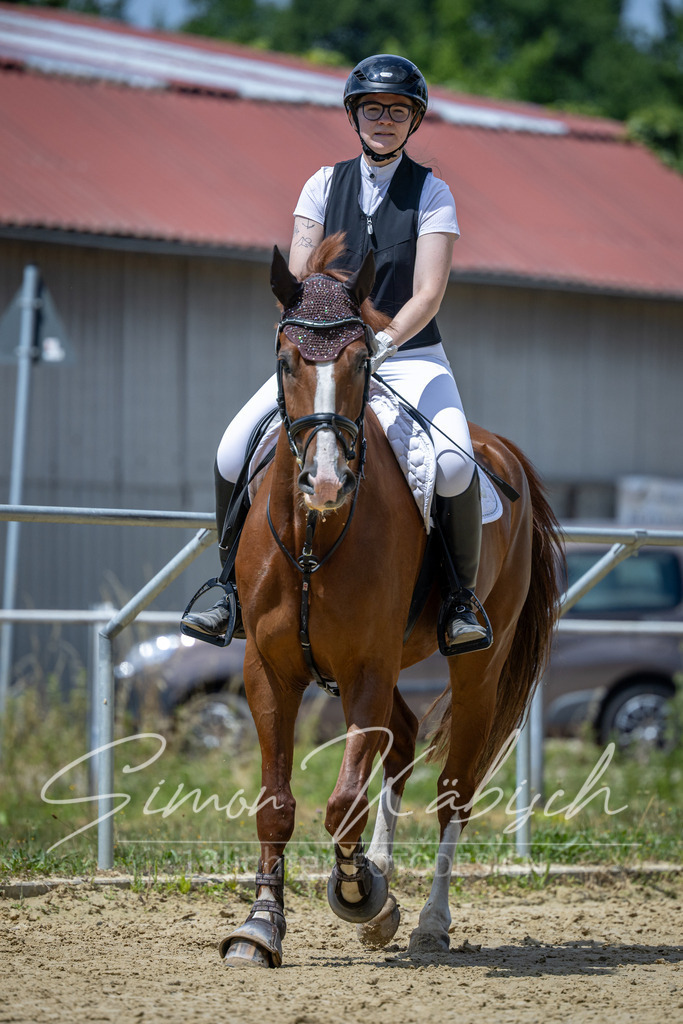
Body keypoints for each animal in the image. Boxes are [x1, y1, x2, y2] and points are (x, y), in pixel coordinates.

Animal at [219, 234, 562, 968]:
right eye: (286, 360)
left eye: (361, 360)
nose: (324, 482)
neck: (316, 538)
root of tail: (501, 449)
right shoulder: (269, 670)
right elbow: (276, 803)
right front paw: (261, 928)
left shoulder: (366, 669)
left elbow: (341, 798)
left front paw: (358, 891)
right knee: (401, 746)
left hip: (476, 671)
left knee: (453, 791)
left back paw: (430, 920)